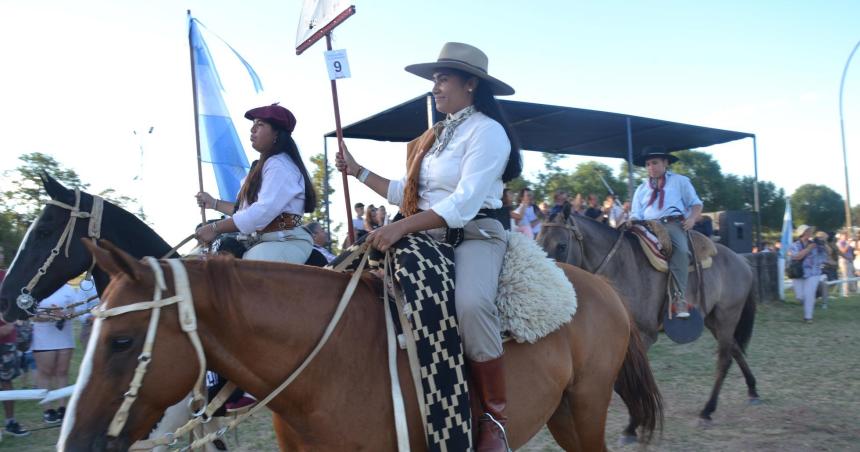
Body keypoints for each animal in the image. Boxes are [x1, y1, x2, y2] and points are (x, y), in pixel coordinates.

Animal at [536, 207, 760, 444]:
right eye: (537, 241)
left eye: (561, 245)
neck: (620, 267)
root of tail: (742, 262)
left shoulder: (644, 336)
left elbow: (625, 382)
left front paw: (632, 426)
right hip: (714, 320)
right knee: (735, 349)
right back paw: (752, 391)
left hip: (727, 317)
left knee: (724, 360)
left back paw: (707, 411)